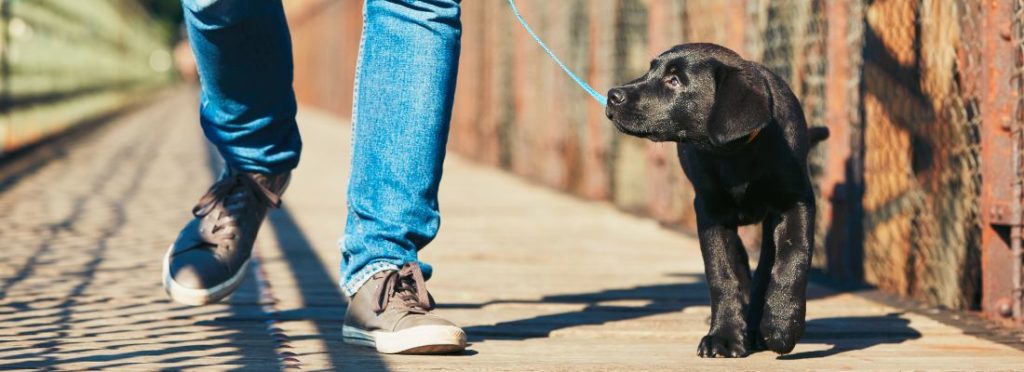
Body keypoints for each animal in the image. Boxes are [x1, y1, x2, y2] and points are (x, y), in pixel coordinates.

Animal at [602, 43, 827, 358]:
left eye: (674, 80)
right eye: (650, 70)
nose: (613, 95)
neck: (734, 154)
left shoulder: (796, 202)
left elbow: (792, 258)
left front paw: (782, 324)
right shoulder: (710, 212)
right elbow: (722, 273)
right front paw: (724, 336)